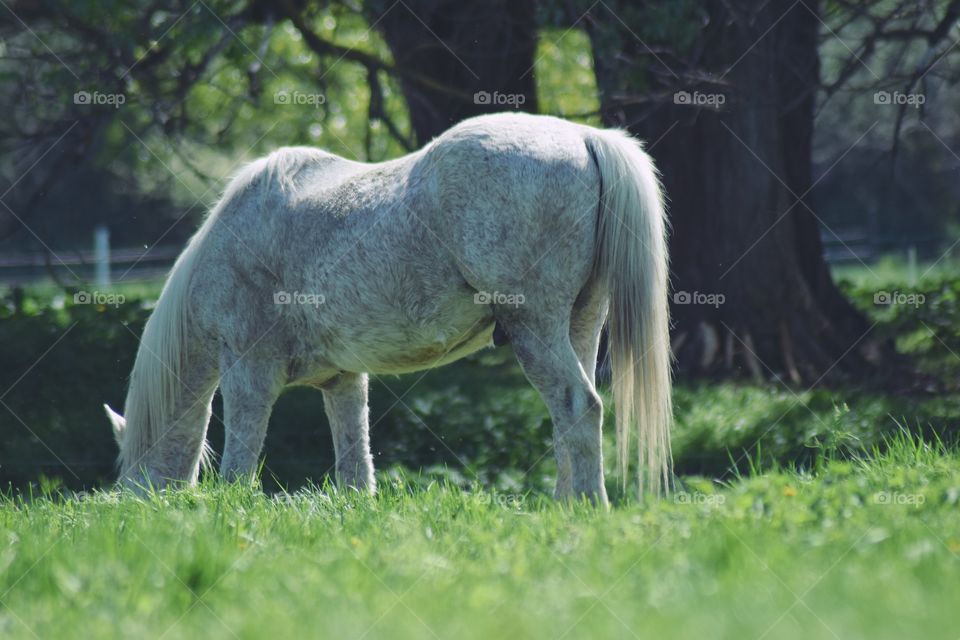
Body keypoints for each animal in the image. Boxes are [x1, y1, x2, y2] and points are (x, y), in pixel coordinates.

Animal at [103, 112, 672, 505]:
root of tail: (583, 137)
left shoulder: (248, 370)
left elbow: (242, 454)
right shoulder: (342, 380)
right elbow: (356, 462)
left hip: (537, 328)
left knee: (579, 407)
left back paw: (586, 508)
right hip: (580, 323)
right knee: (570, 417)